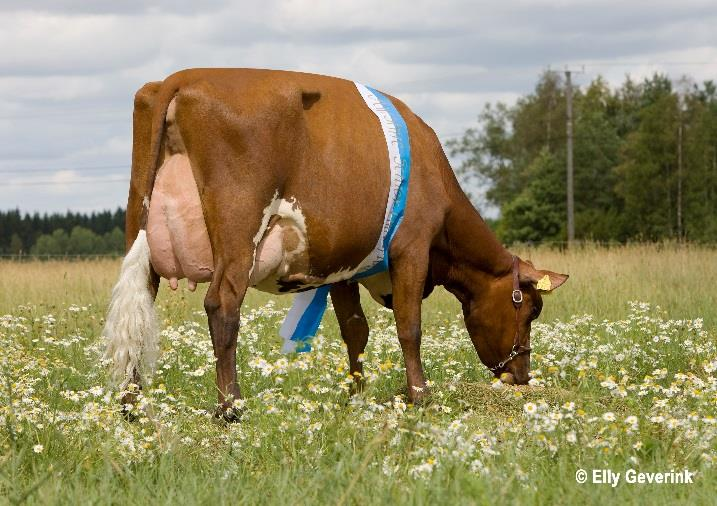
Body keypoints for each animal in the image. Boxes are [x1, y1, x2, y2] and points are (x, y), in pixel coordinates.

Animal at [103, 69, 568, 422]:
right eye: (530, 308)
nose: (520, 376)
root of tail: (186, 75)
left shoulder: (344, 266)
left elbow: (355, 331)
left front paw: (355, 396)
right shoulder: (411, 247)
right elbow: (409, 326)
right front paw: (420, 395)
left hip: (139, 226)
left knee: (138, 309)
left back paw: (132, 406)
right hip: (238, 232)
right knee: (222, 305)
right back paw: (230, 408)